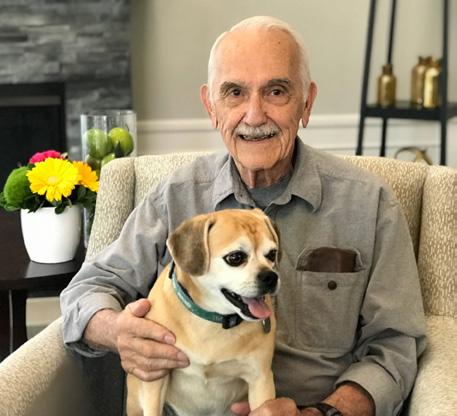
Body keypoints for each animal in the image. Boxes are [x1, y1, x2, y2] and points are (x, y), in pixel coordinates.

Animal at [126, 208, 280, 416]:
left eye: (272, 254)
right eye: (235, 257)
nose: (271, 277)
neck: (211, 320)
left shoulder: (260, 379)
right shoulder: (157, 377)